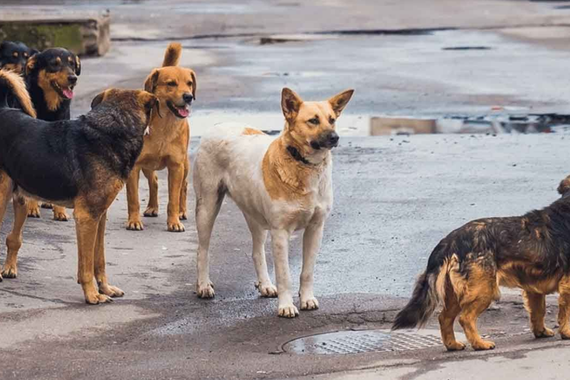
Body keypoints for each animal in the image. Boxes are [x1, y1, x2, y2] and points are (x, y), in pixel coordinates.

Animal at [0, 70, 158, 304]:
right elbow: (86, 265)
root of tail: (3, 109)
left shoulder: (99, 216)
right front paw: (92, 295)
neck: (113, 128)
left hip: (20, 198)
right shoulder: (86, 217)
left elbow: (98, 259)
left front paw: (105, 288)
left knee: (13, 238)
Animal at [124, 41, 195, 232]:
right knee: (154, 181)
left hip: (185, 164)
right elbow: (133, 198)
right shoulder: (134, 167)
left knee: (184, 186)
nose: (188, 96)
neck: (164, 126)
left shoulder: (176, 166)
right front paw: (134, 221)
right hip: (147, 166)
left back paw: (182, 211)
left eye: (189, 83)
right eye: (171, 83)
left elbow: (173, 199)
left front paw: (174, 222)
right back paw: (152, 207)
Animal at [193, 88, 352, 318]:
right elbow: (284, 275)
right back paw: (204, 285)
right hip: (207, 207)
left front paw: (307, 298)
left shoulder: (315, 229)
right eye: (313, 120)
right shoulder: (280, 233)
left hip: (255, 216)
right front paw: (286, 306)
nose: (335, 137)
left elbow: (307, 272)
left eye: (332, 120)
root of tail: (218, 125)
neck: (303, 164)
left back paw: (265, 285)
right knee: (202, 250)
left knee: (256, 252)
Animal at [392, 175, 570, 350]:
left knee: (444, 318)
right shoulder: (566, 284)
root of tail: (450, 241)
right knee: (465, 318)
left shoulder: (534, 287)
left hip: (456, 293)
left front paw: (541, 332)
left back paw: (453, 345)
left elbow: (538, 311)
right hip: (484, 289)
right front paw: (566, 333)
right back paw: (479, 344)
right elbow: (565, 312)